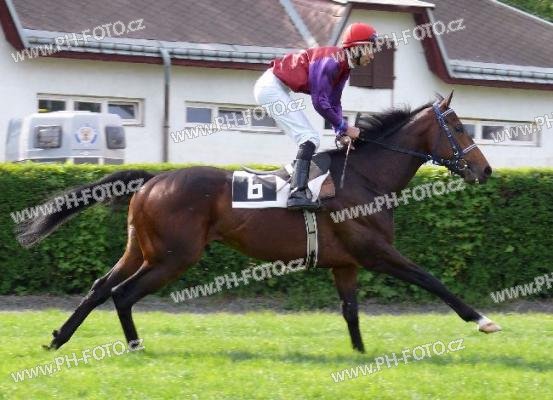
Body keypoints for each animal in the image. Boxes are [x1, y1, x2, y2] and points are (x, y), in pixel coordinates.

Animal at [16, 91, 500, 353]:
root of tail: (154, 178)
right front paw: (482, 320)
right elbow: (431, 279)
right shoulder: (375, 252)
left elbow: (351, 312)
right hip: (174, 256)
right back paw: (134, 347)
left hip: (141, 248)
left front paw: (361, 355)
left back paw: (58, 337)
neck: (364, 177)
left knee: (101, 286)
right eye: (459, 128)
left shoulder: (345, 263)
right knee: (123, 294)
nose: (485, 170)